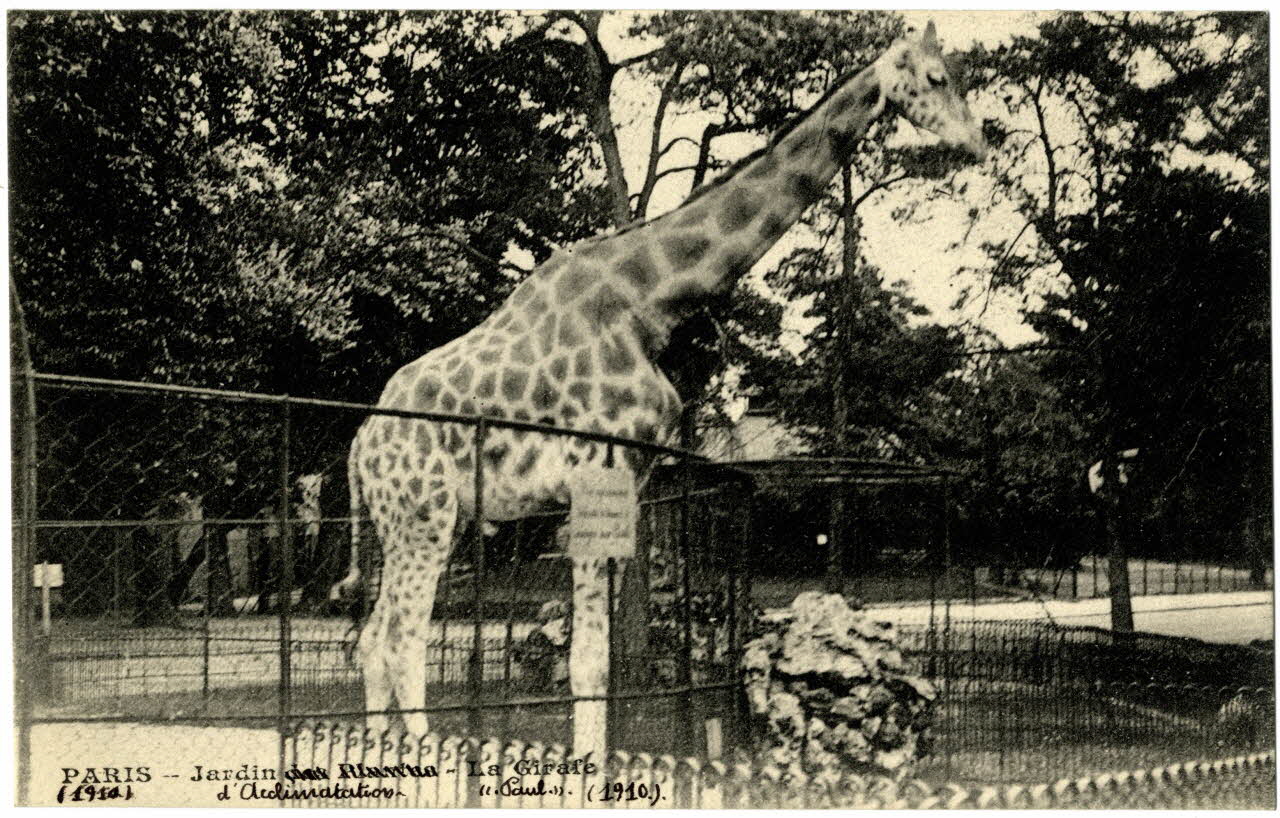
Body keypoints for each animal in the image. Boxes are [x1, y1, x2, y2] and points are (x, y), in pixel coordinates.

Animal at [332, 21, 986, 736]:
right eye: (934, 78)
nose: (978, 142)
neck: (649, 302)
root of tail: (360, 445)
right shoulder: (596, 476)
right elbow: (589, 665)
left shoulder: (632, 484)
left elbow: (603, 663)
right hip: (421, 513)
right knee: (400, 640)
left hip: (420, 521)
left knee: (374, 639)